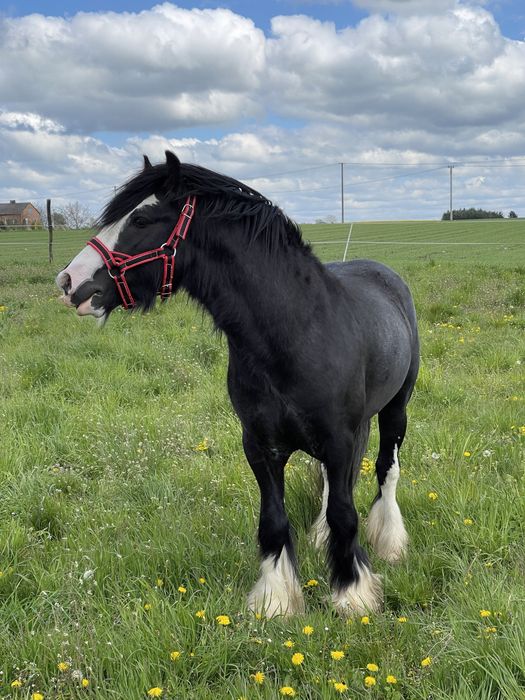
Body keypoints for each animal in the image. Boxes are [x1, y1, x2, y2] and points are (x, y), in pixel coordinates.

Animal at [56, 153, 418, 616]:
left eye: (140, 218)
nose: (70, 282)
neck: (297, 332)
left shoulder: (340, 438)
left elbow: (344, 512)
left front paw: (352, 593)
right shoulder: (260, 445)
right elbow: (276, 520)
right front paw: (277, 599)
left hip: (395, 409)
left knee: (386, 470)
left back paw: (389, 542)